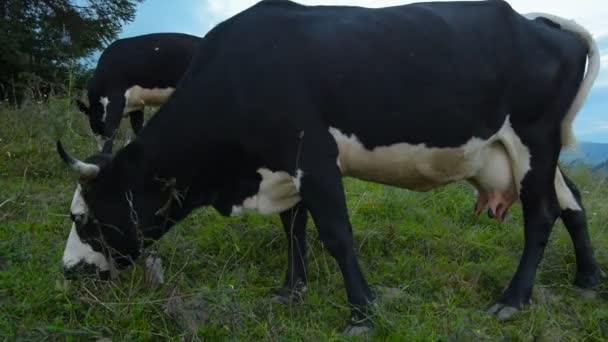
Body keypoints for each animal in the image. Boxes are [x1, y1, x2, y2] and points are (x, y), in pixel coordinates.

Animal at [58, 0, 604, 336]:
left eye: (84, 218)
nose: (68, 272)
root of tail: (542, 22)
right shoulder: (281, 166)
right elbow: (292, 227)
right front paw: (291, 288)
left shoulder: (315, 159)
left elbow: (337, 235)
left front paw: (361, 312)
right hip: (529, 154)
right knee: (572, 200)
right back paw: (587, 278)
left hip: (534, 142)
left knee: (542, 215)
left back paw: (514, 298)